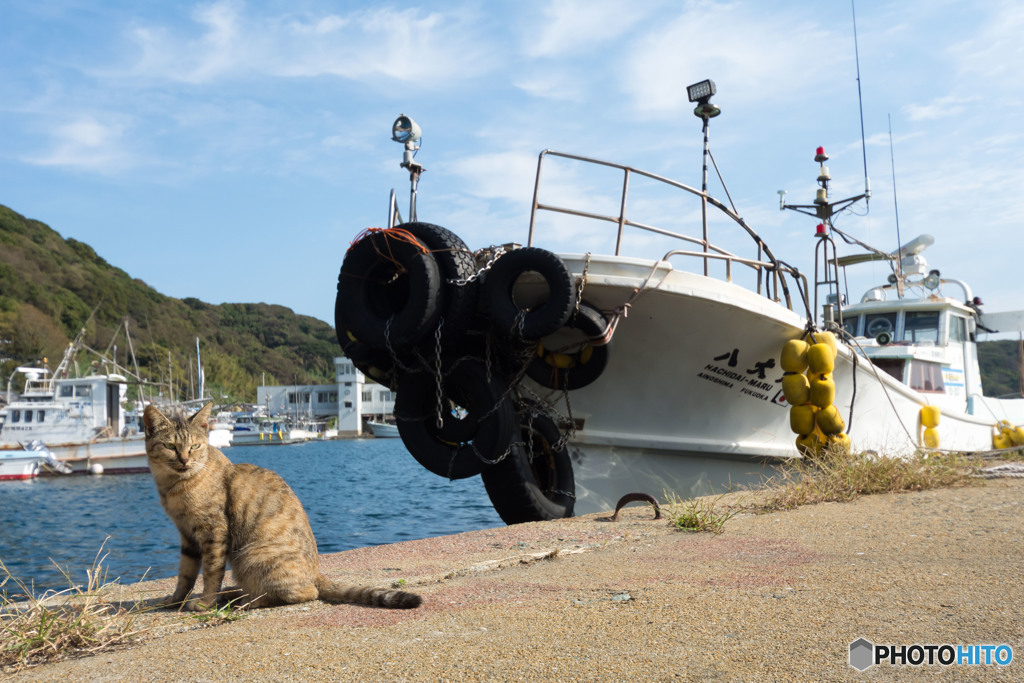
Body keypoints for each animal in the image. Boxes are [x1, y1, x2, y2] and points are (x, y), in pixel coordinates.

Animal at [140, 403, 419, 610]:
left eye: (195, 446)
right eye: (170, 446)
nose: (184, 460)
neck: (174, 487)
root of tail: (316, 572)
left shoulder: (213, 533)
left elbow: (210, 573)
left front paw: (205, 603)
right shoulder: (187, 536)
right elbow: (185, 575)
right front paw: (175, 600)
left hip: (251, 556)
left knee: (304, 593)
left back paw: (243, 601)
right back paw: (233, 594)